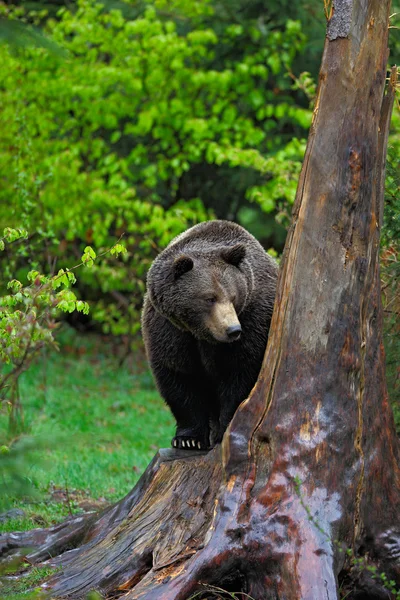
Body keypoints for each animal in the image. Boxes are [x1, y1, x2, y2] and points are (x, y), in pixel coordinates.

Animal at [141, 220, 278, 450]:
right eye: (209, 298)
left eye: (233, 296)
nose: (233, 329)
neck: (201, 334)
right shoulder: (169, 329)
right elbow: (180, 377)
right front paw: (188, 439)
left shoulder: (253, 317)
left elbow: (240, 374)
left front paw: (224, 431)